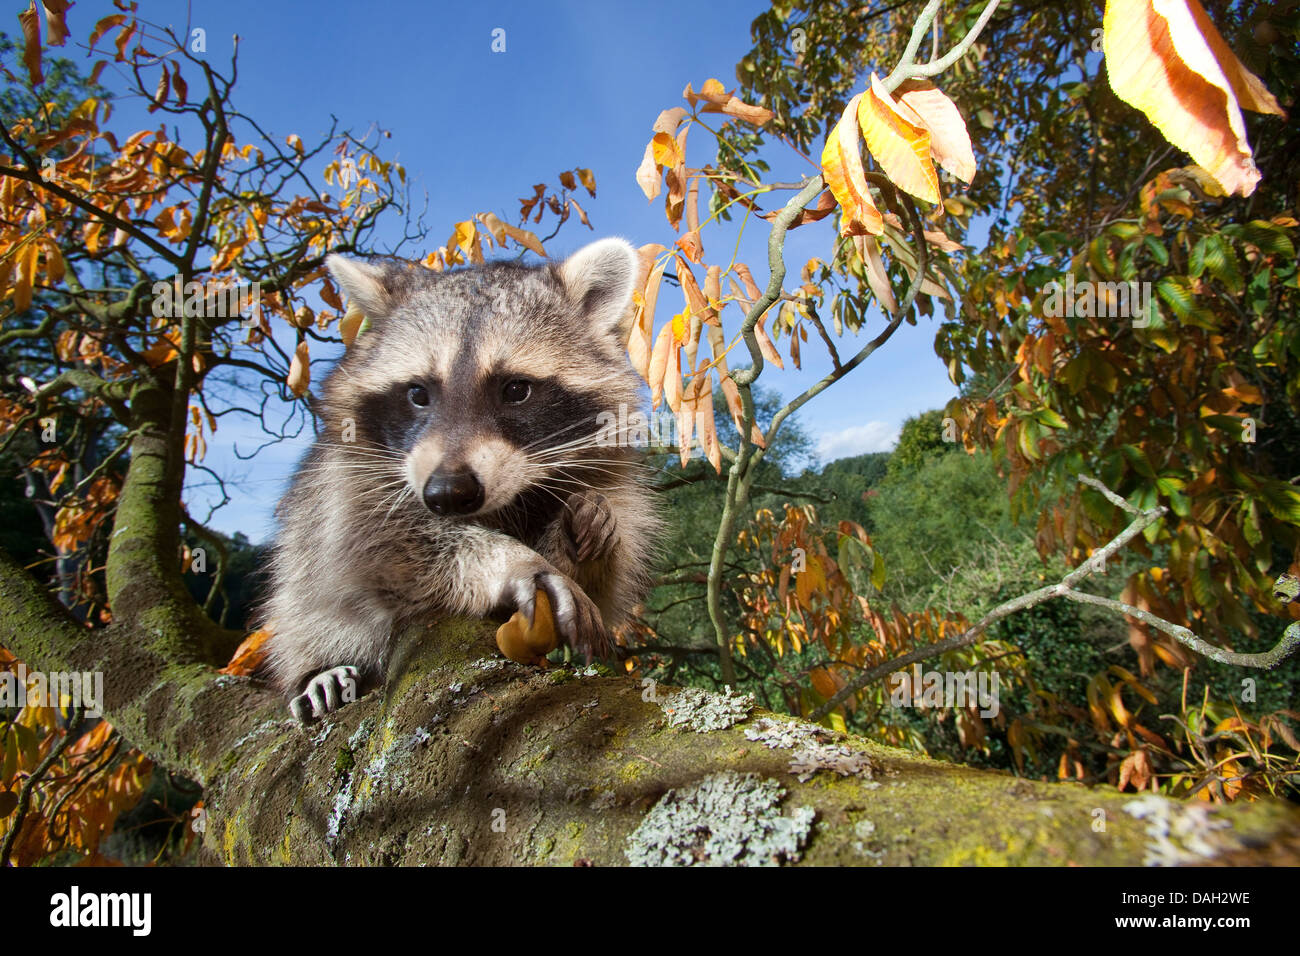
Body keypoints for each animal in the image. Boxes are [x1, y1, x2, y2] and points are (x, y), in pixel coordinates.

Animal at [258, 238, 660, 717]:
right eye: (417, 393)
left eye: (516, 389)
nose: (448, 493)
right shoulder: (348, 484)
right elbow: (379, 547)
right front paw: (512, 560)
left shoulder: (608, 475)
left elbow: (611, 567)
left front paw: (586, 541)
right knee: (305, 598)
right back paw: (318, 669)